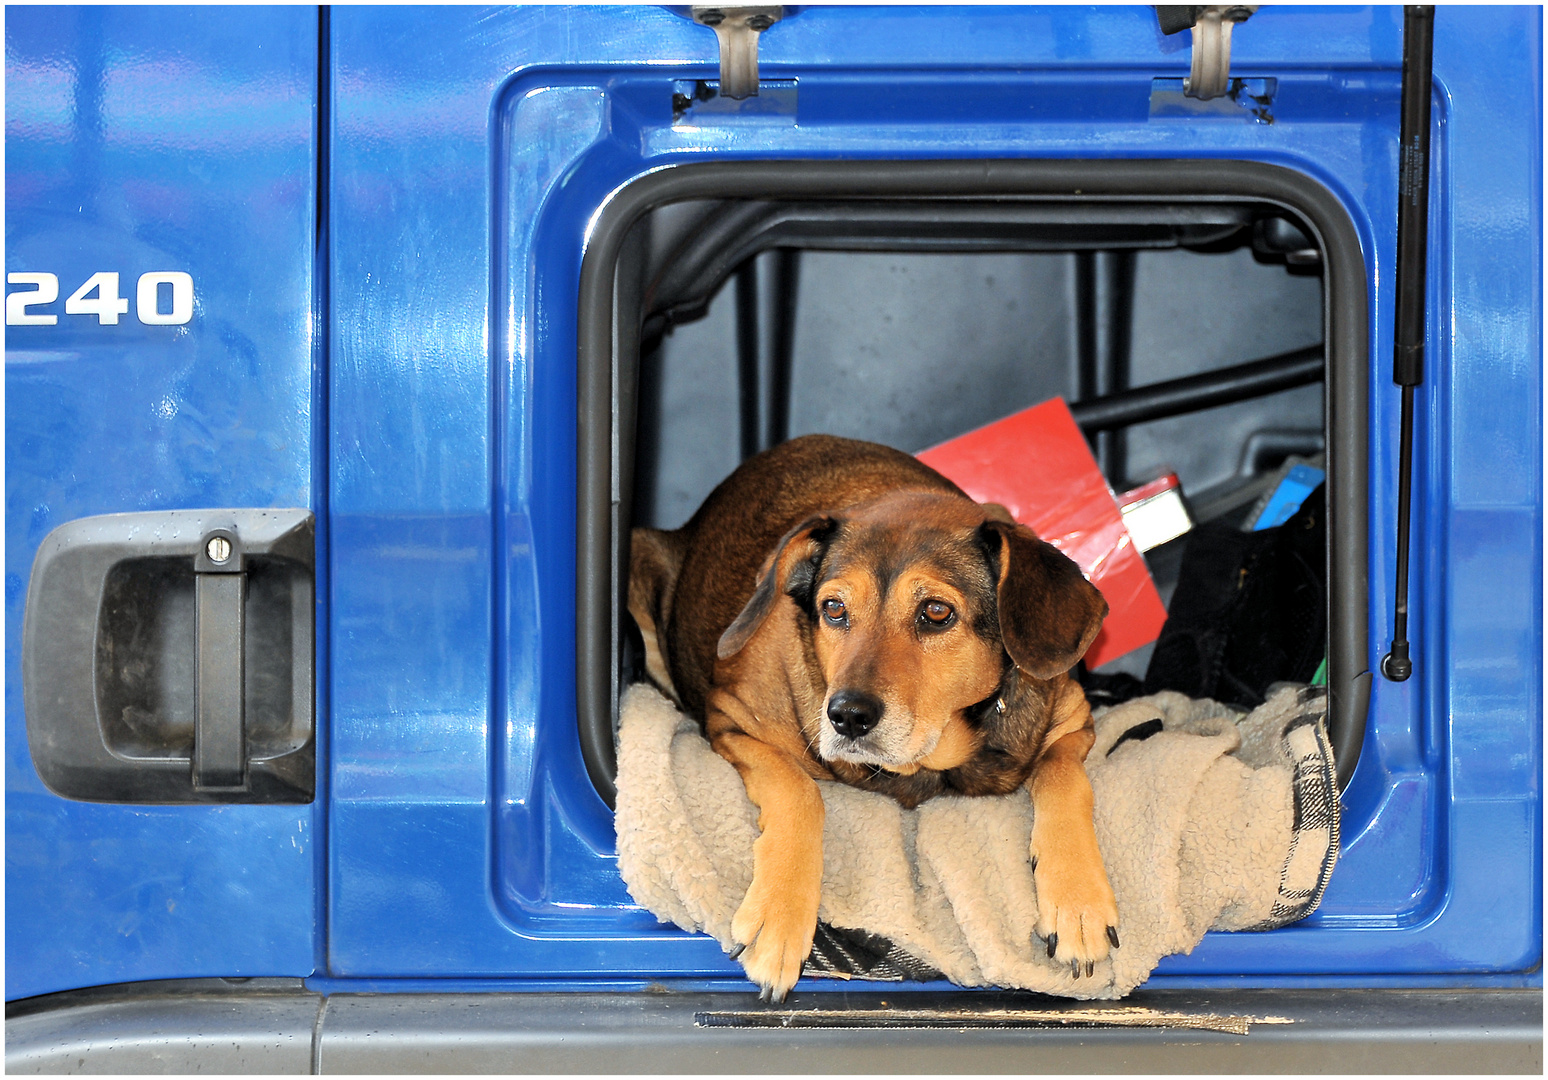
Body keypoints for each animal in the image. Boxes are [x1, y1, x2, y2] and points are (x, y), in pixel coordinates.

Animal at [628, 433, 1126, 996]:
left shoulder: (1072, 719)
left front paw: (1078, 903)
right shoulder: (730, 719)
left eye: (936, 612)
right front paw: (778, 917)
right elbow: (800, 791)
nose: (846, 716)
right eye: (833, 609)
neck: (936, 759)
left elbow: (1065, 777)